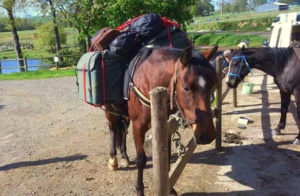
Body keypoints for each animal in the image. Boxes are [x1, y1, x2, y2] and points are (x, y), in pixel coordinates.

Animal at [105, 45, 216, 194]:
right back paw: (113, 159)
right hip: (109, 112)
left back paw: (124, 156)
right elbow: (141, 159)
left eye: (212, 86)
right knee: (112, 129)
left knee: (122, 130)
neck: (149, 81)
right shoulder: (138, 126)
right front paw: (139, 190)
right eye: (186, 87)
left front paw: (171, 188)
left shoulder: (165, 125)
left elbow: (167, 156)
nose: (207, 135)